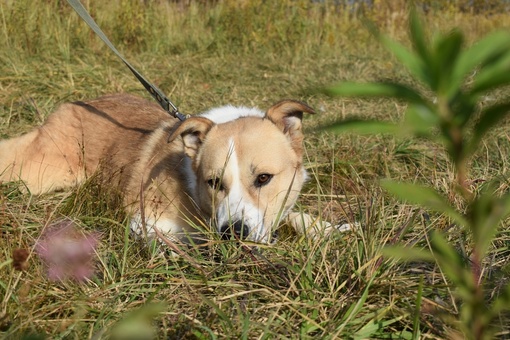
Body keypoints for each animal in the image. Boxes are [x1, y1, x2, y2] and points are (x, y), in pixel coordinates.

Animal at [0, 94, 342, 243]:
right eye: (213, 182)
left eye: (264, 178)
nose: (233, 233)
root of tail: (72, 104)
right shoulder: (146, 222)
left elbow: (296, 216)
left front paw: (331, 229)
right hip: (43, 171)